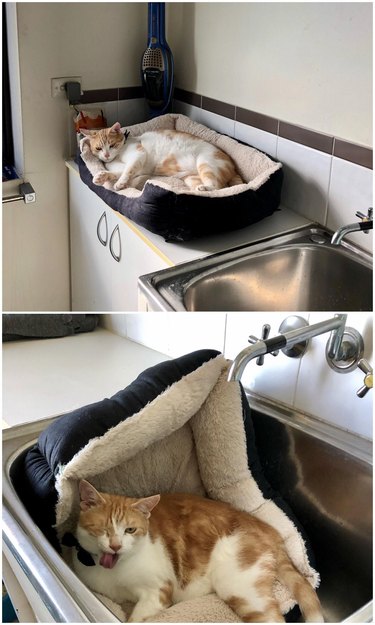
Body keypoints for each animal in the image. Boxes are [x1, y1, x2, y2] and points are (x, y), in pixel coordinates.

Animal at [72, 480, 324, 620]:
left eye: (130, 530)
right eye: (103, 528)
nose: (115, 546)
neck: (115, 572)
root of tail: (266, 528)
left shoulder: (159, 591)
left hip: (238, 585)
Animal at [79, 121, 244, 190]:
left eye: (112, 145)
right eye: (98, 148)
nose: (106, 155)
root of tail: (233, 167)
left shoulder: (138, 156)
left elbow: (127, 171)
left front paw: (120, 183)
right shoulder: (131, 167)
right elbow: (117, 172)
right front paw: (101, 177)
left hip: (206, 163)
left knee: (217, 188)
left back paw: (204, 188)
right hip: (192, 178)